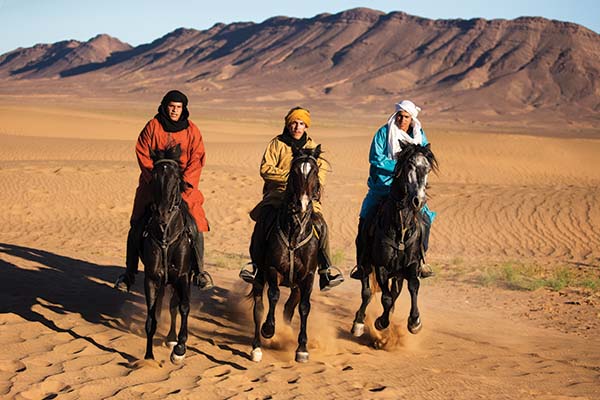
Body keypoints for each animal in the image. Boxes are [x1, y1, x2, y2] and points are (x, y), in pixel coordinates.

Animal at [139, 145, 196, 364]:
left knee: (174, 305)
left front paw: (180, 348)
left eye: (176, 178)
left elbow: (184, 307)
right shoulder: (151, 278)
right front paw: (148, 356)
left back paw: (173, 339)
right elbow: (151, 316)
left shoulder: (182, 276)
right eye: (154, 176)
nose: (162, 213)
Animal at [248, 145, 324, 362]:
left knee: (289, 309)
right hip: (259, 276)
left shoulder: (308, 276)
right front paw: (268, 329)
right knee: (258, 307)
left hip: (295, 285)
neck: (295, 233)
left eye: (315, 171)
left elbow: (304, 307)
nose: (302, 204)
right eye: (296, 171)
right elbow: (273, 296)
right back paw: (257, 347)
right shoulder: (273, 269)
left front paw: (302, 348)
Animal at [352, 142, 436, 340]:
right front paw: (381, 322)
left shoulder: (412, 264)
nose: (418, 201)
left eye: (427, 168)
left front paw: (414, 322)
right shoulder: (381, 267)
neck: (401, 227)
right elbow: (386, 297)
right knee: (367, 292)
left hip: (397, 274)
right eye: (410, 165)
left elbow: (413, 286)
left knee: (394, 292)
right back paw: (359, 322)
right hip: (365, 263)